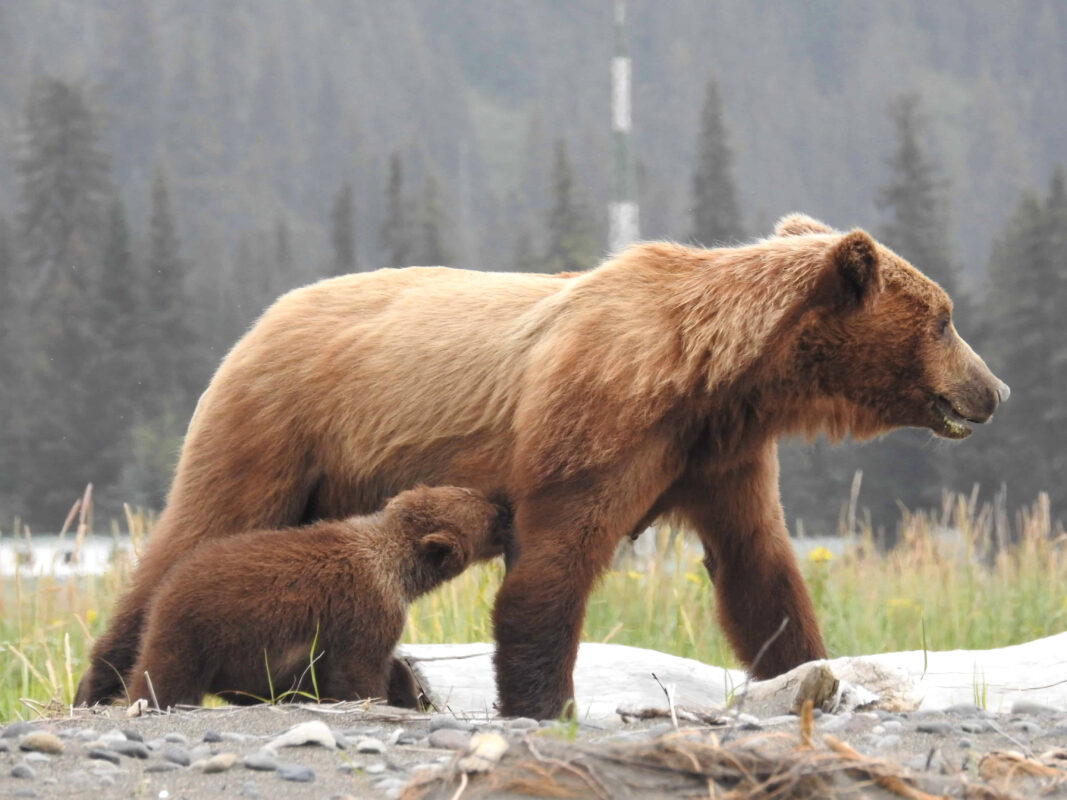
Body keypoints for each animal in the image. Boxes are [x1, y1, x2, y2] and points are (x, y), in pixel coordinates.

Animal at [125, 486, 505, 709]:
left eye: (469, 491)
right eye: (485, 511)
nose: (503, 504)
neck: (400, 568)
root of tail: (166, 587)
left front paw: (405, 689)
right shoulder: (369, 605)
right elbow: (362, 666)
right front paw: (378, 695)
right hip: (199, 630)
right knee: (165, 675)